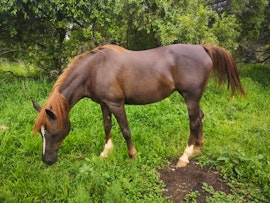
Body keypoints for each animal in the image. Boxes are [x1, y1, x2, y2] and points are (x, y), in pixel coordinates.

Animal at [31, 43, 245, 166]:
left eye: (51, 132)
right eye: (41, 133)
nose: (46, 160)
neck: (95, 70)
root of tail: (203, 48)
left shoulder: (116, 104)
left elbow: (125, 130)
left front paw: (132, 155)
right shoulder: (104, 104)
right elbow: (107, 126)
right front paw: (105, 152)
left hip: (190, 97)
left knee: (193, 122)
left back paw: (184, 157)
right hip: (195, 97)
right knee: (200, 118)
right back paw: (198, 148)